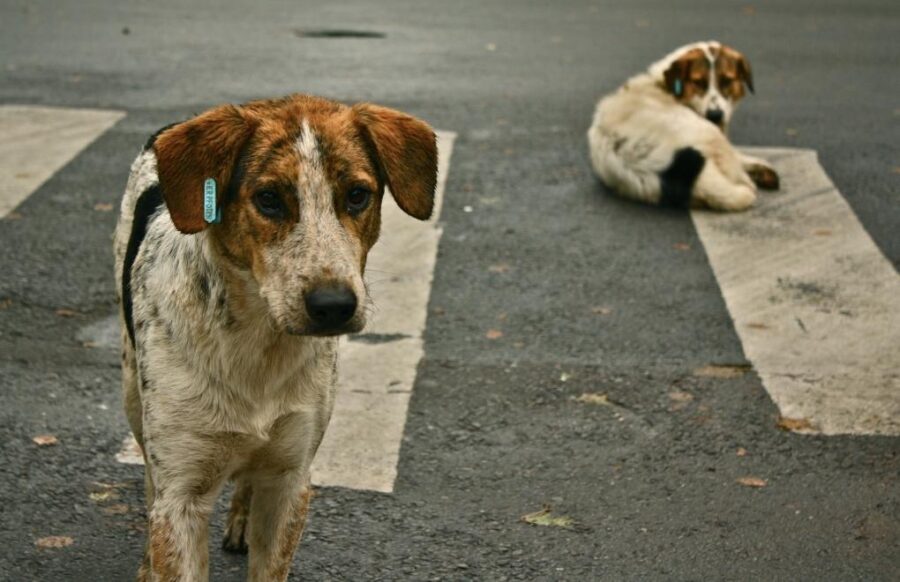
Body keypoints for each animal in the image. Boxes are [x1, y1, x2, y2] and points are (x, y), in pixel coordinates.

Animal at [114, 93, 438, 580]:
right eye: (268, 199)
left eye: (357, 195)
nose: (333, 305)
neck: (258, 343)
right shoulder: (182, 494)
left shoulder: (290, 481)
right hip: (133, 391)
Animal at [588, 42, 776, 213]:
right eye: (698, 82)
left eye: (727, 81)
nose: (715, 115)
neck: (663, 84)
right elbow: (737, 156)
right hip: (708, 132)